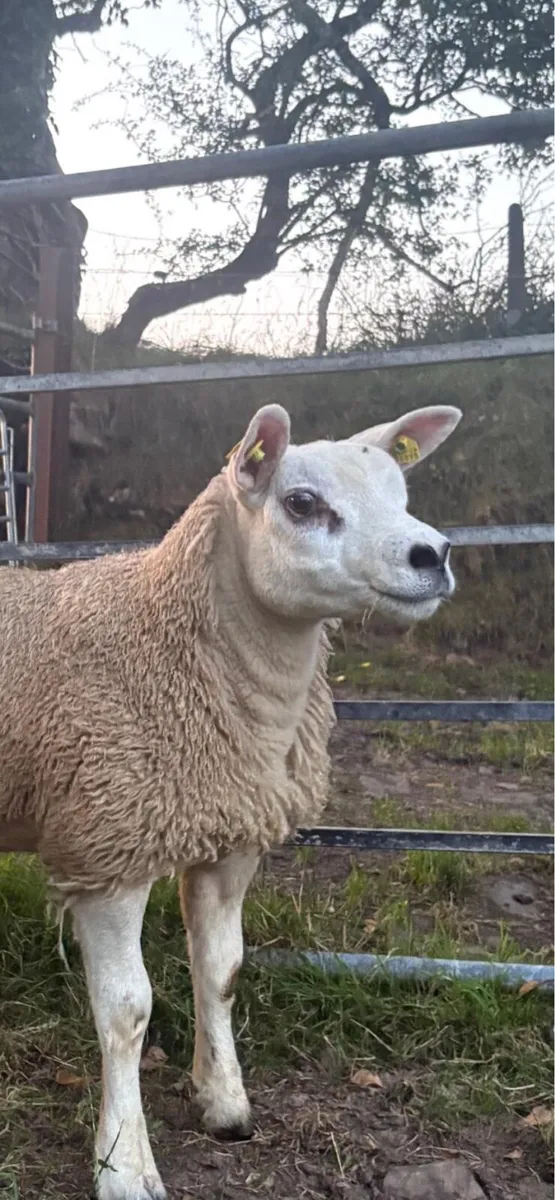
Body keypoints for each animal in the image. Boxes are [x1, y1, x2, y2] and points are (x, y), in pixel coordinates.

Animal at [0, 401, 461, 1200]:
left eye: (400, 493)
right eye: (301, 503)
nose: (430, 554)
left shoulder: (231, 837)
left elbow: (223, 972)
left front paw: (224, 1103)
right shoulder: (109, 843)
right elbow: (127, 1011)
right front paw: (125, 1165)